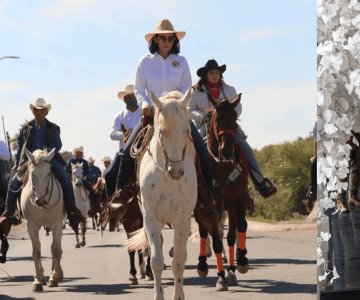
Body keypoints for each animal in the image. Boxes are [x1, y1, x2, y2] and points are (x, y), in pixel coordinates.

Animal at [20, 149, 65, 292]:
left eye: (49, 173)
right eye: (32, 174)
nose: (40, 201)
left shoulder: (57, 224)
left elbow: (56, 250)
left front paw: (54, 277)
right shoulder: (32, 225)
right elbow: (36, 252)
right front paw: (37, 281)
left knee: (56, 249)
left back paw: (56, 274)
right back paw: (41, 276)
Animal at [128, 91, 197, 300]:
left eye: (186, 130)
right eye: (161, 132)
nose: (176, 171)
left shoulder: (182, 220)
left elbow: (179, 262)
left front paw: (178, 295)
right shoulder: (150, 219)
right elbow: (156, 261)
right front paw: (158, 294)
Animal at [195, 95, 252, 290]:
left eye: (235, 118)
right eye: (217, 118)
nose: (227, 150)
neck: (220, 167)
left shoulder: (236, 203)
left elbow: (234, 235)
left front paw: (237, 266)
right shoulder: (210, 209)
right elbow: (218, 243)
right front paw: (221, 277)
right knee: (203, 231)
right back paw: (202, 265)